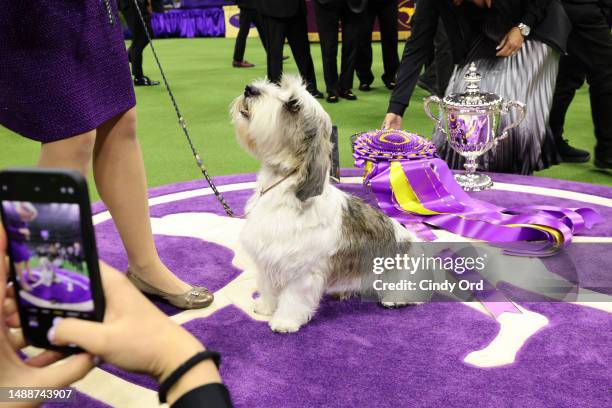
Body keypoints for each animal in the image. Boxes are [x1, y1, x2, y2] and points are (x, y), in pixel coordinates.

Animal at [231, 75, 416, 332]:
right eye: (279, 85)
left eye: (293, 105)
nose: (250, 89)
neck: (284, 190)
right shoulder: (268, 258)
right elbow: (268, 286)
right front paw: (266, 307)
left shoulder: (301, 272)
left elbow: (293, 299)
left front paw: (284, 321)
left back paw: (395, 299)